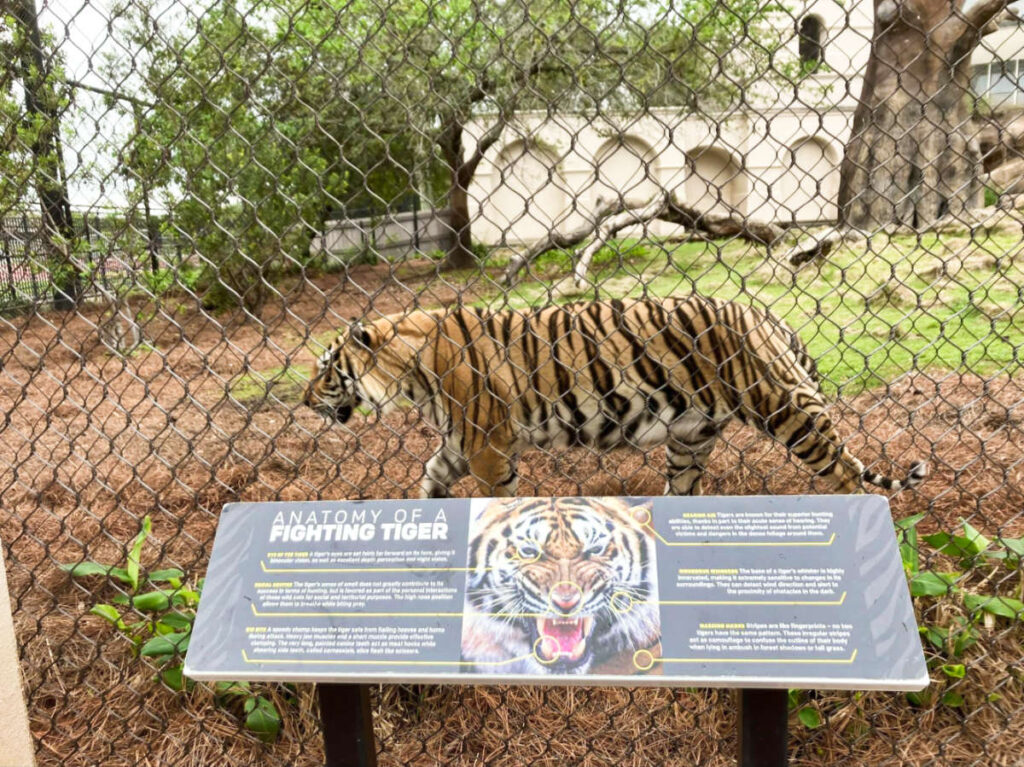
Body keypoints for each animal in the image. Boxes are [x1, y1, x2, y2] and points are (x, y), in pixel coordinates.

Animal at [302, 296, 928, 498]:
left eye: (326, 369)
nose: (304, 400)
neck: (411, 373)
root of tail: (769, 316)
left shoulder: (487, 446)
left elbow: (495, 501)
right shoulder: (459, 443)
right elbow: (430, 479)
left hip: (787, 409)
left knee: (846, 475)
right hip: (691, 436)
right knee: (683, 491)